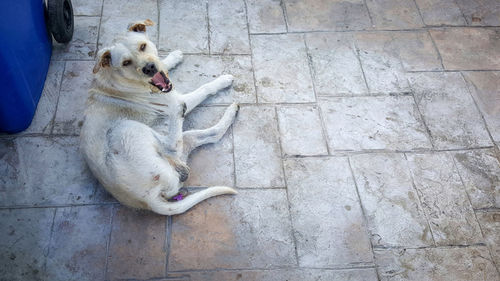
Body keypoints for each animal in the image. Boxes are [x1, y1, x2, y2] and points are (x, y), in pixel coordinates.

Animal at [79, 19, 238, 214]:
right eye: (126, 62)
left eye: (143, 46)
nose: (149, 68)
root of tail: (147, 201)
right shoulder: (179, 97)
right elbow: (204, 88)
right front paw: (222, 81)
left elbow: (164, 64)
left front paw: (173, 57)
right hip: (126, 129)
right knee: (172, 142)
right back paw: (180, 110)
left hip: (180, 149)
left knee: (211, 136)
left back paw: (232, 111)